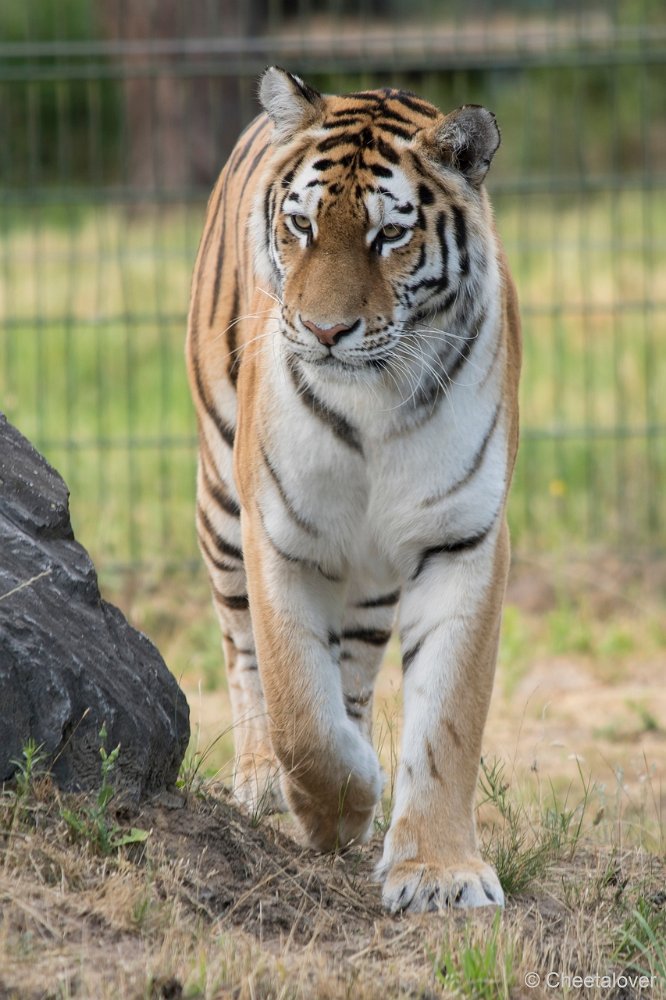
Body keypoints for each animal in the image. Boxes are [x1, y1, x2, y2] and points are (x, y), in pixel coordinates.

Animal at [185, 66, 520, 916]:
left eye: (388, 237)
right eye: (301, 225)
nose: (324, 331)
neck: (376, 398)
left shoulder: (463, 535)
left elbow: (449, 718)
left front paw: (438, 870)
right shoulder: (279, 530)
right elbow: (298, 704)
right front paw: (332, 810)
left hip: (371, 575)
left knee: (359, 672)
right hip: (221, 504)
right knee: (242, 651)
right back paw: (262, 779)